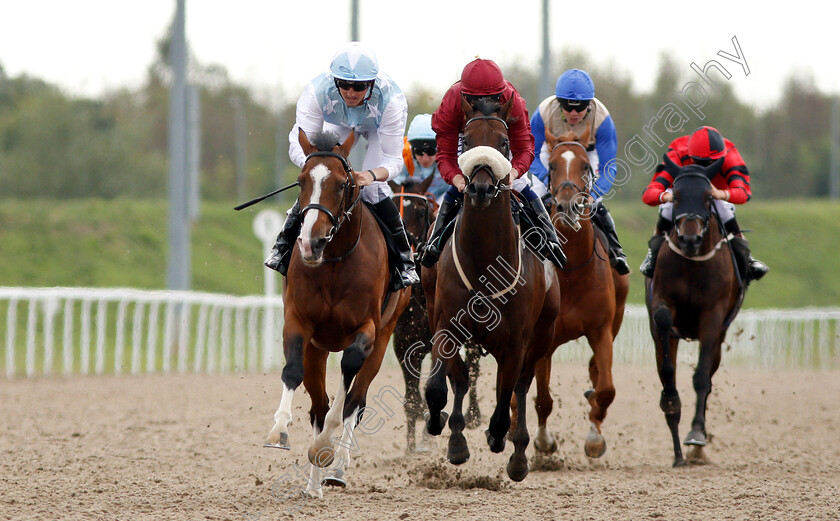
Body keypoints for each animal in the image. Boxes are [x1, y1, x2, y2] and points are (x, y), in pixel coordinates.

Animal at [260, 128, 408, 498]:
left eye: (342, 185)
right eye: (301, 182)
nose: (310, 243)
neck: (334, 262)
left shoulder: (368, 329)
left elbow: (349, 379)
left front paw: (325, 448)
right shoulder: (299, 322)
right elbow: (293, 372)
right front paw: (279, 431)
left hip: (384, 337)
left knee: (356, 399)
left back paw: (336, 468)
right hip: (319, 348)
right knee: (318, 404)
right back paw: (314, 486)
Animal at [388, 176, 482, 450]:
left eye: (421, 211)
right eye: (392, 207)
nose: (407, 249)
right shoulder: (404, 343)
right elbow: (411, 397)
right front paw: (411, 447)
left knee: (474, 366)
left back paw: (473, 414)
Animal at [424, 96, 560, 480]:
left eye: (503, 143)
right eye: (466, 143)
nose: (481, 188)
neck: (486, 257)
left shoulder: (515, 342)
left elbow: (505, 401)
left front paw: (500, 438)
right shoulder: (445, 324)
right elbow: (438, 387)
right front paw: (443, 426)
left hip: (541, 335)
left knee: (521, 386)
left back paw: (518, 452)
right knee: (459, 380)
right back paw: (456, 434)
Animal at [528, 128, 628, 458]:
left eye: (585, 165)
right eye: (553, 166)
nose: (568, 205)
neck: (570, 268)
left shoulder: (601, 329)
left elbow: (607, 388)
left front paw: (594, 438)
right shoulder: (543, 341)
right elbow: (543, 399)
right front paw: (543, 442)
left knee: (596, 370)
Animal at [648, 154, 744, 468]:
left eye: (706, 197)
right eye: (676, 196)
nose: (689, 240)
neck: (692, 264)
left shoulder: (712, 318)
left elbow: (701, 377)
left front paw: (696, 435)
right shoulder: (661, 302)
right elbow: (667, 365)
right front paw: (671, 403)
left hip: (719, 338)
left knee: (709, 376)